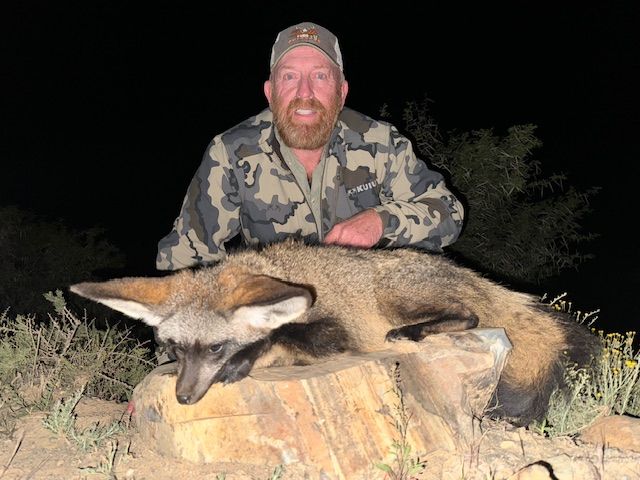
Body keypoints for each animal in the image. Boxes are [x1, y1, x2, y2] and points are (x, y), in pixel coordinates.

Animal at [70, 239, 598, 425]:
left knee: (467, 315)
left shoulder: (338, 333)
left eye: (216, 347)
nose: (183, 398)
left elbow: (279, 336)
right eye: (174, 349)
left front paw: (246, 361)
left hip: (393, 296)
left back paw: (413, 332)